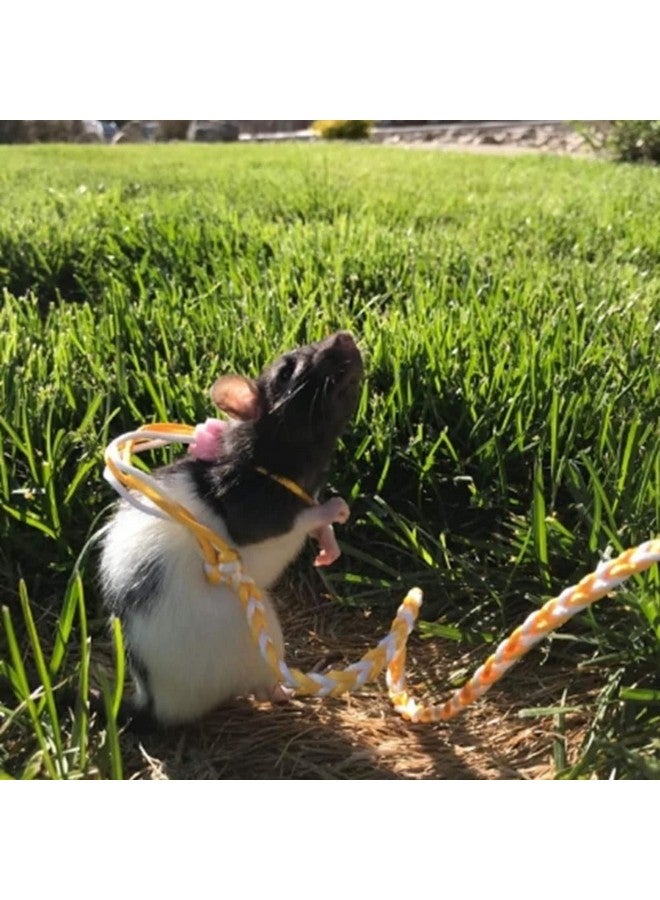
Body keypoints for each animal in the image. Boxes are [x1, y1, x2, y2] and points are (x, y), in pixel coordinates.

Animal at [99, 331, 363, 728]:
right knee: (258, 686)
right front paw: (332, 509)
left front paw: (328, 543)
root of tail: (157, 704)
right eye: (286, 370)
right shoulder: (252, 509)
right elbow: (293, 520)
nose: (344, 336)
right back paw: (280, 691)